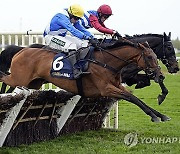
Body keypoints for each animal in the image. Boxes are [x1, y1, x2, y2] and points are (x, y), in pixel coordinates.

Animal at [0, 41, 169, 122]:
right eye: (149, 57)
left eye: (156, 56)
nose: (160, 76)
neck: (106, 62)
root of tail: (21, 50)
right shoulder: (106, 89)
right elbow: (132, 97)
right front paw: (154, 116)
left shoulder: (118, 86)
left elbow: (136, 98)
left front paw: (160, 115)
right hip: (19, 78)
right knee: (3, 76)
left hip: (33, 82)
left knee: (11, 84)